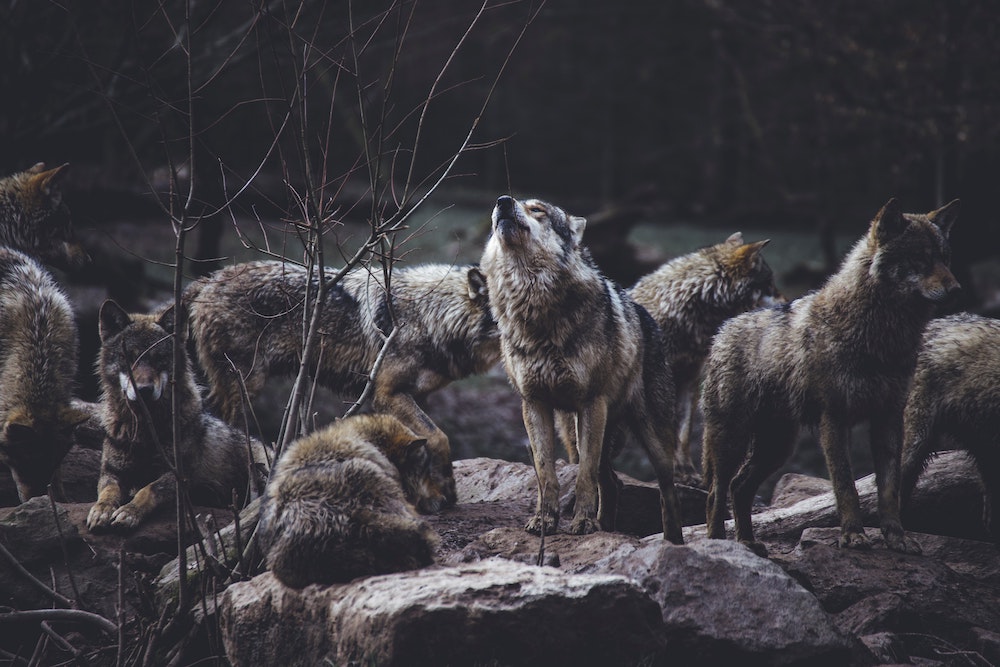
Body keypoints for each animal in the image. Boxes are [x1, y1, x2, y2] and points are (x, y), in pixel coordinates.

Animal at [86, 300, 271, 531]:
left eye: (159, 358)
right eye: (129, 357)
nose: (144, 390)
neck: (145, 431)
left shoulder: (178, 475)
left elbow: (147, 490)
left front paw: (129, 512)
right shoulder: (111, 472)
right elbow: (108, 492)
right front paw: (101, 510)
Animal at [184, 260, 500, 511]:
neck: (430, 315)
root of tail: (208, 279)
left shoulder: (416, 396)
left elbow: (424, 444)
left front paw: (434, 493)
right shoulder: (387, 394)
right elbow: (439, 437)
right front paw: (446, 491)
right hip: (245, 386)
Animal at [480, 195, 683, 542]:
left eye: (538, 210)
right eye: (507, 203)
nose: (503, 201)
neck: (534, 309)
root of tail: (647, 316)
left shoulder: (591, 403)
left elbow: (584, 477)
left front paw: (584, 523)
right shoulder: (534, 404)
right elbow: (546, 473)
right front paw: (545, 520)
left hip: (650, 438)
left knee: (666, 492)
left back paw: (673, 542)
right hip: (574, 432)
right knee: (613, 483)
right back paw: (607, 527)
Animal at [702, 198, 960, 556]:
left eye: (945, 259)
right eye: (920, 259)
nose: (956, 289)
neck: (880, 336)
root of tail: (723, 329)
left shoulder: (889, 419)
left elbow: (889, 490)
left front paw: (897, 537)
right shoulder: (834, 419)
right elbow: (845, 485)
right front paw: (853, 536)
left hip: (777, 447)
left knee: (739, 487)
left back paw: (748, 543)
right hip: (733, 440)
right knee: (717, 491)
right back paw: (718, 544)